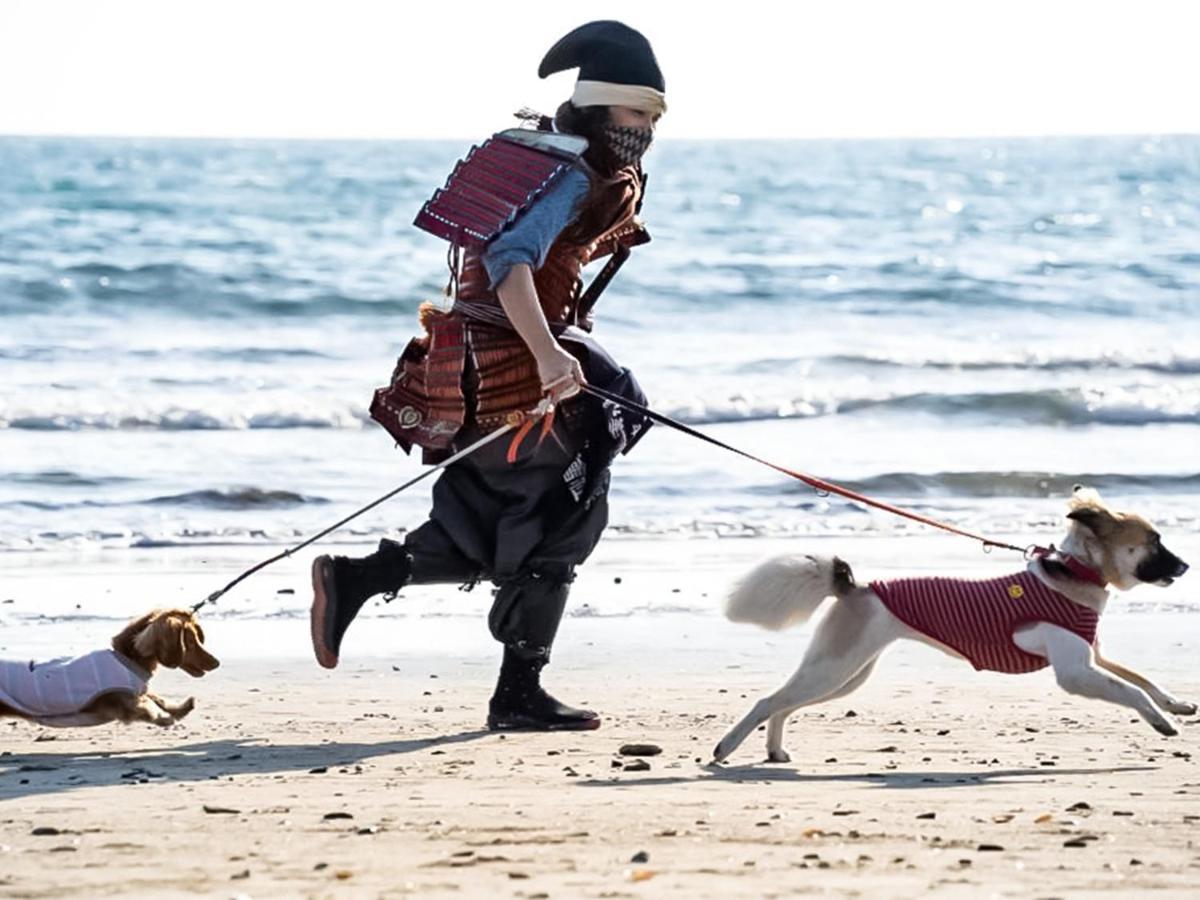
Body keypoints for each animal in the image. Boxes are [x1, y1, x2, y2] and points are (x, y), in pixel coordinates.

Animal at [710, 489, 1190, 763]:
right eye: (1154, 541)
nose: (1185, 566)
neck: (1074, 572)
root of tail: (855, 587)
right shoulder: (1075, 672)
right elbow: (1131, 691)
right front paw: (1162, 723)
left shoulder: (1095, 657)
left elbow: (1144, 681)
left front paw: (1177, 705)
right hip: (835, 667)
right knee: (768, 701)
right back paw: (724, 749)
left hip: (845, 674)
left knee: (783, 704)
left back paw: (774, 750)